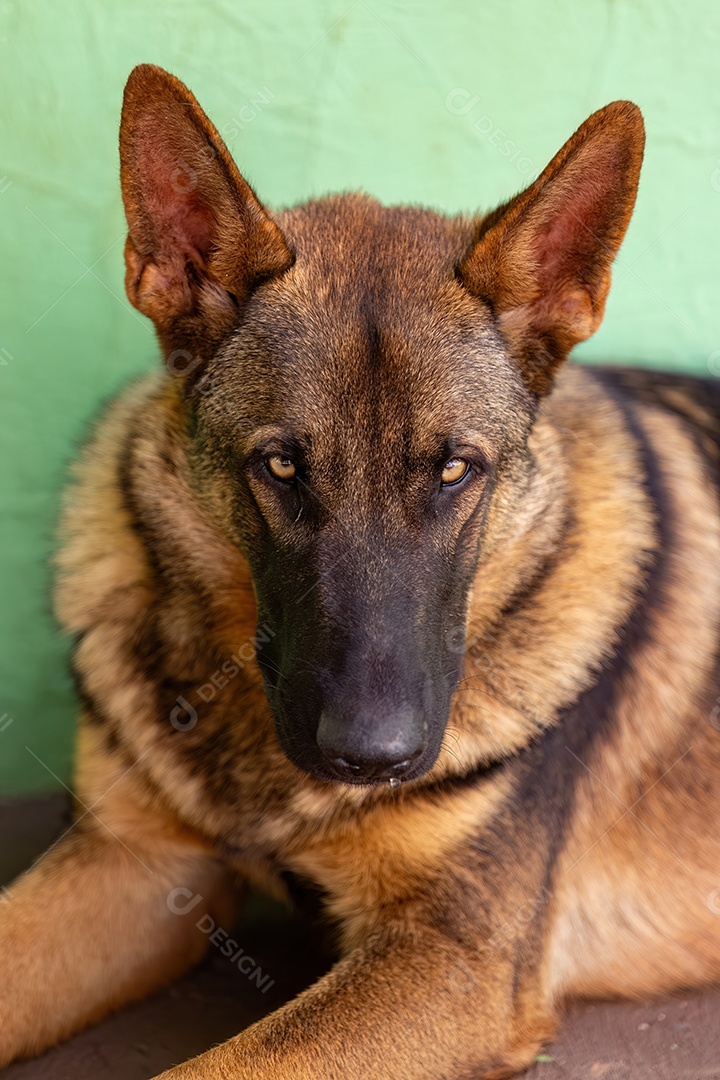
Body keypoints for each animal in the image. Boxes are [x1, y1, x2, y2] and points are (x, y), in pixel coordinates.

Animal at [1, 63, 720, 1075]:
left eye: (456, 470)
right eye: (282, 467)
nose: (372, 758)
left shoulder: (448, 957)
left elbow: (209, 1066)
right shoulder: (133, 868)